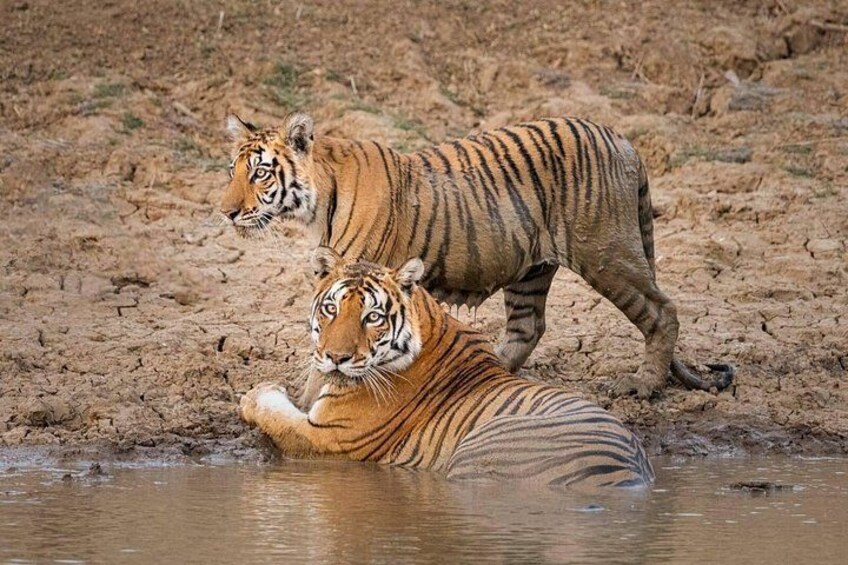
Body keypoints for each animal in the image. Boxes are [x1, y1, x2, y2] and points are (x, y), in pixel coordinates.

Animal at [221, 112, 734, 399]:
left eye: (261, 172)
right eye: (232, 170)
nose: (226, 212)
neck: (316, 202)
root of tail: (623, 139)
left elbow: (325, 358)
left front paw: (304, 404)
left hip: (606, 252)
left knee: (661, 311)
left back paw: (642, 386)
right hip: (531, 269)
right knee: (528, 327)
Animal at [237, 248, 655, 488]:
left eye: (372, 317)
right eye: (331, 309)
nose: (335, 357)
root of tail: (632, 472)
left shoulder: (328, 437)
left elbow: (274, 414)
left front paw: (256, 392)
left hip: (476, 456)